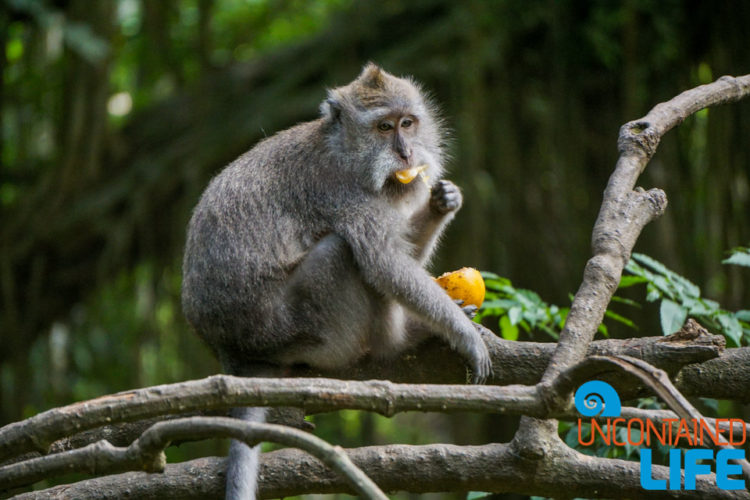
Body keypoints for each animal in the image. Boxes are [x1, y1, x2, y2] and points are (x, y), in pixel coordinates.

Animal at [184, 63, 494, 500]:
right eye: (383, 127)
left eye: (408, 123)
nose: (406, 153)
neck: (345, 152)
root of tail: (235, 352)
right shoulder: (343, 194)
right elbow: (384, 264)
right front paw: (463, 335)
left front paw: (442, 202)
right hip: (298, 330)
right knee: (340, 253)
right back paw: (400, 341)